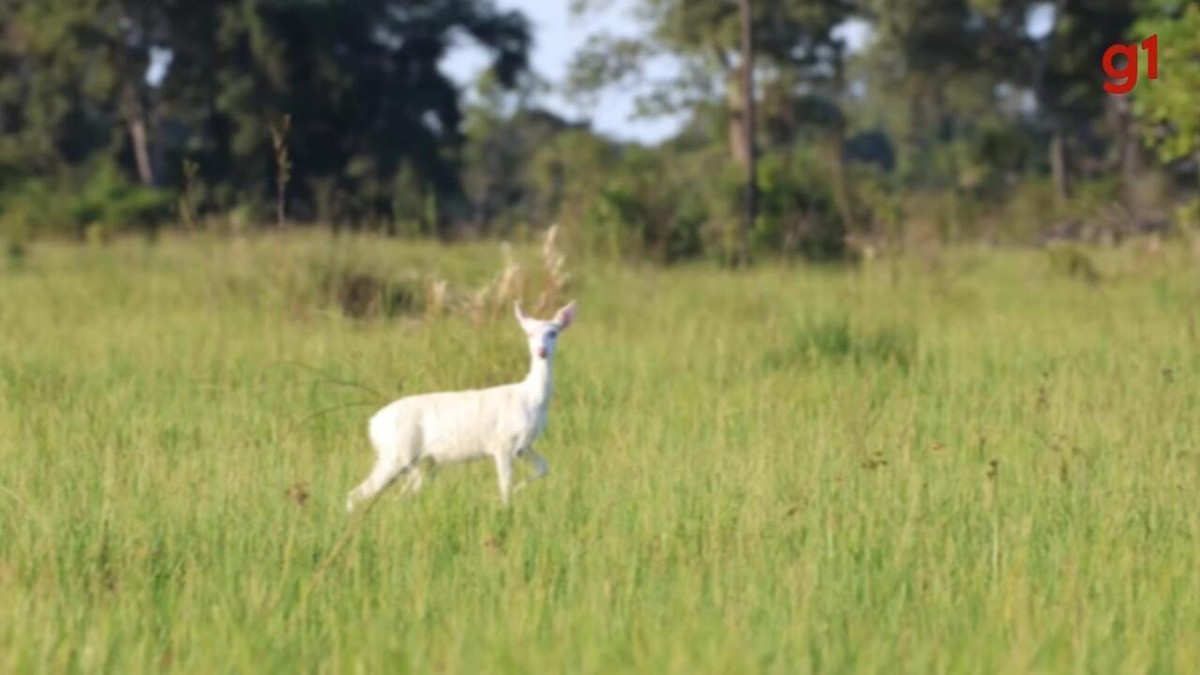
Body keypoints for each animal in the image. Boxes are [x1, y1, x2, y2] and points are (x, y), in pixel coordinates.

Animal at [345, 299, 578, 509]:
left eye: (553, 332)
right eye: (528, 333)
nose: (542, 351)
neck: (530, 399)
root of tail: (372, 424)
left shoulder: (524, 446)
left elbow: (544, 468)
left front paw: (519, 490)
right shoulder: (502, 443)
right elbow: (505, 486)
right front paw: (505, 507)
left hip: (416, 461)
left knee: (399, 493)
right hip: (396, 454)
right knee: (357, 493)